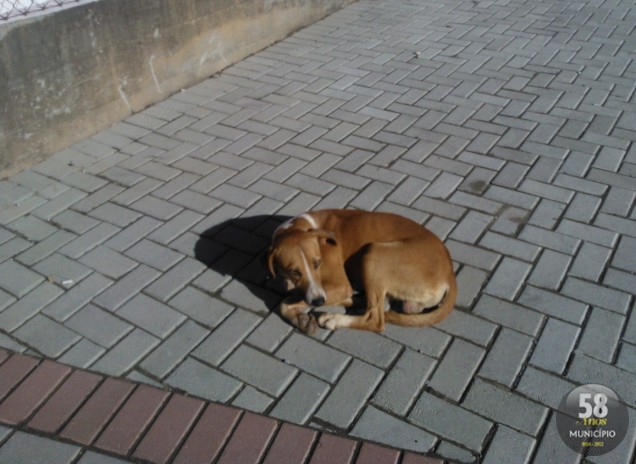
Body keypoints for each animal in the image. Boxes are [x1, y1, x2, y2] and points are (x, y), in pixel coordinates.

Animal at [266, 210, 454, 334]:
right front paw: (301, 319)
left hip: (373, 253)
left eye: (317, 263)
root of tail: (450, 273)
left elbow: (284, 303)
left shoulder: (339, 286)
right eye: (293, 271)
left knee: (375, 320)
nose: (318, 301)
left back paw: (335, 318)